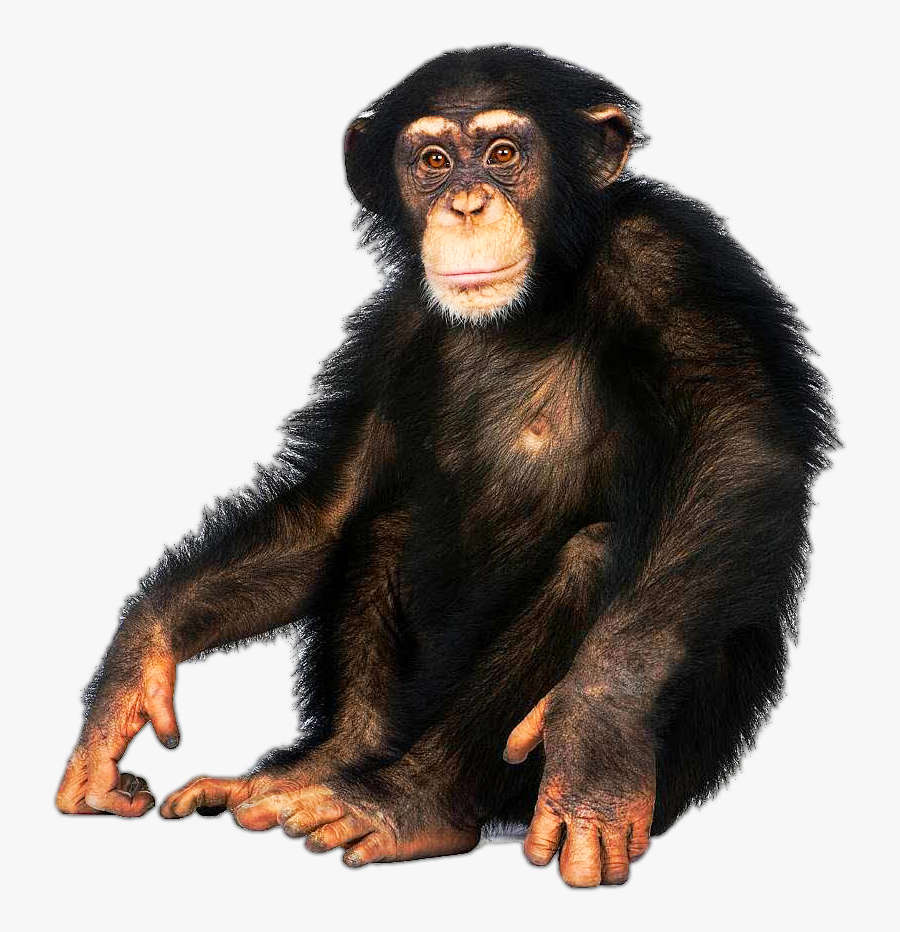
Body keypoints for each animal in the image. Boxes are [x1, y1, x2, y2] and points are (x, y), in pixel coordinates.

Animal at [56, 46, 835, 887]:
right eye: (432, 160)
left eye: (503, 154)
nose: (465, 203)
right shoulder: (394, 326)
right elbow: (330, 510)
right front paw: (134, 665)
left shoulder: (669, 263)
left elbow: (737, 444)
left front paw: (595, 728)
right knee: (380, 527)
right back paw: (323, 768)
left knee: (594, 558)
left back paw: (408, 803)